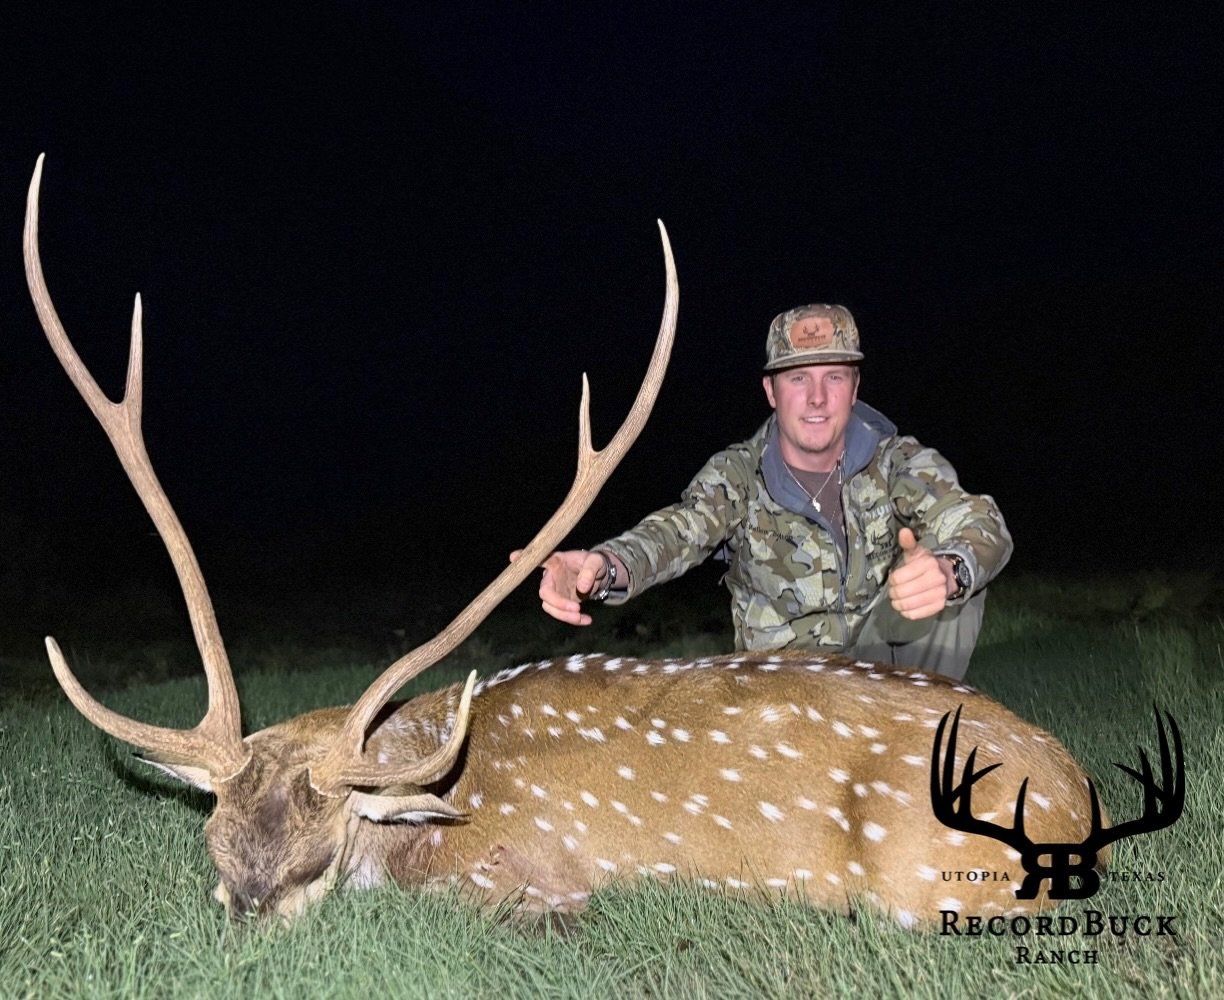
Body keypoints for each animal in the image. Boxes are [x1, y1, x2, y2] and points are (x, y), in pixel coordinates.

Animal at [24, 155, 1181, 928]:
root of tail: (1080, 795)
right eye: (216, 856)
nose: (248, 928)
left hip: (936, 873)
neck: (437, 799)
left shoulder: (507, 871)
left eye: (316, 861)